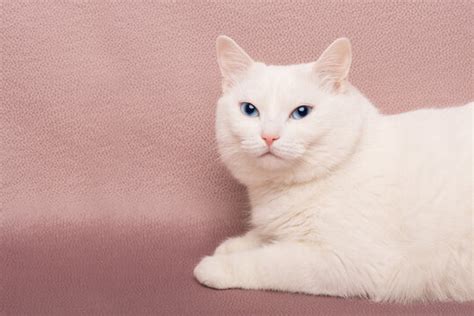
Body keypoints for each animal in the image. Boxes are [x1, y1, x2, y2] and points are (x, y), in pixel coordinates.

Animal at [194, 35, 472, 302]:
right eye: (249, 110)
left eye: (301, 112)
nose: (269, 136)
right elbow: (262, 237)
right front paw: (232, 245)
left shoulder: (346, 261)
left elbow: (267, 261)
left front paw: (214, 266)